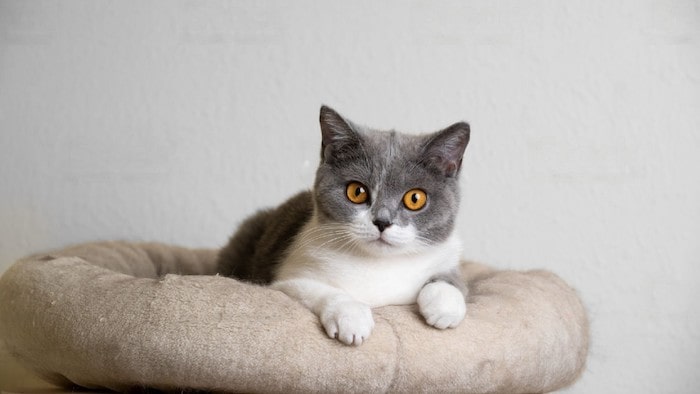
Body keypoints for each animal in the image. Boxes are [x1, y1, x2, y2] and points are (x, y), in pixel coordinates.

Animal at [219, 106, 470, 346]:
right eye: (357, 192)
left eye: (415, 198)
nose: (382, 222)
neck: (378, 265)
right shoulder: (286, 279)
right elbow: (319, 290)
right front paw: (351, 320)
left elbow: (455, 281)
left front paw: (444, 307)